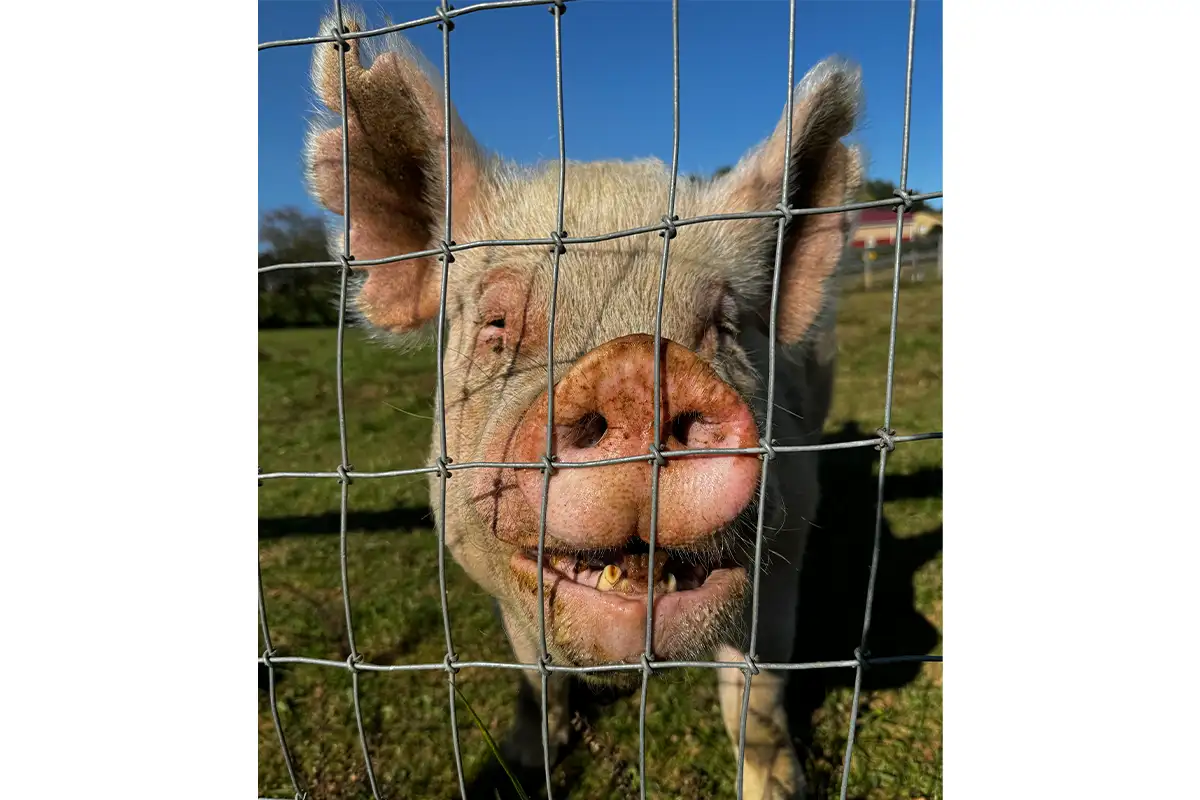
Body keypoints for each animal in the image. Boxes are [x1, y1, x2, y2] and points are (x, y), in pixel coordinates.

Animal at [303, 8, 863, 799]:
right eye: (497, 325)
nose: (637, 370)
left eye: (725, 326)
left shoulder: (791, 529)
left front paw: (777, 789)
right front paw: (523, 761)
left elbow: (758, 685)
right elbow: (536, 674)